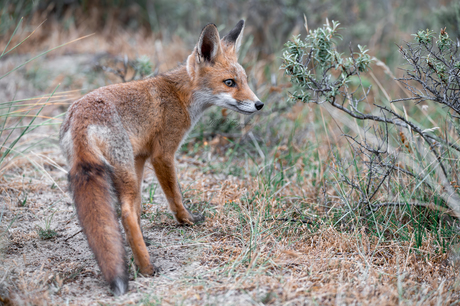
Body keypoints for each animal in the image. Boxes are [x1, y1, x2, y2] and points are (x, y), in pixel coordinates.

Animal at [59, 19, 264, 296]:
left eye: (244, 80)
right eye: (229, 82)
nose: (259, 104)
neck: (180, 96)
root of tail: (79, 115)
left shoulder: (140, 158)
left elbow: (139, 209)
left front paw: (139, 242)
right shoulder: (163, 155)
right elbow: (175, 197)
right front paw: (187, 220)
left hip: (115, 170)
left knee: (127, 212)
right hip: (124, 170)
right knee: (124, 213)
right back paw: (146, 268)